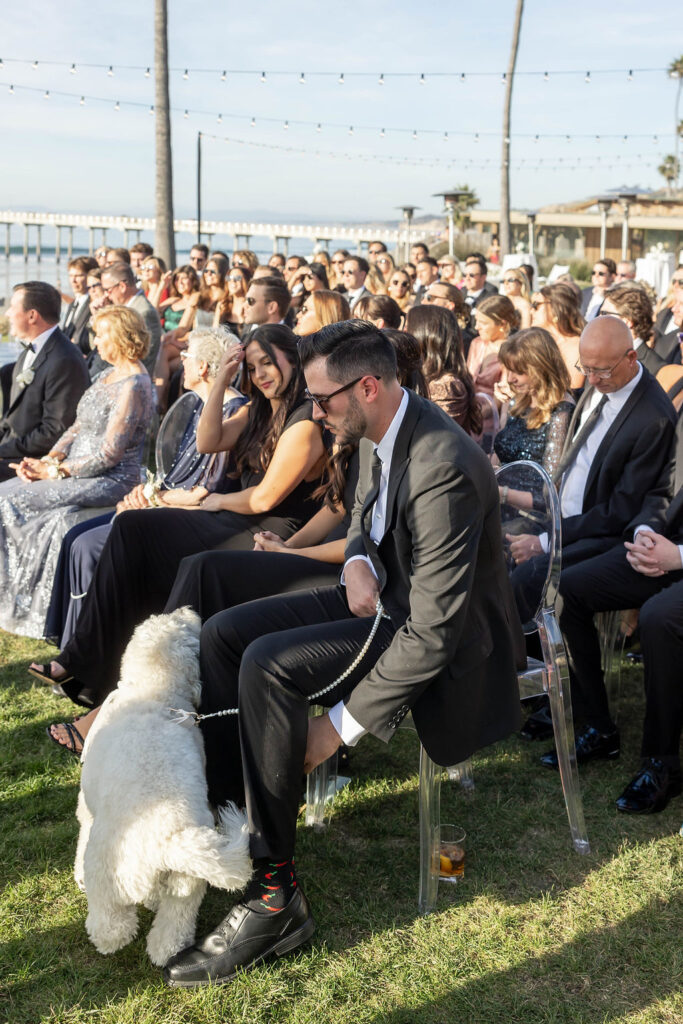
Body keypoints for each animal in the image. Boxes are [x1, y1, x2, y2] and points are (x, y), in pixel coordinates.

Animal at [75, 606, 250, 966]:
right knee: (172, 924)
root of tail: (168, 841)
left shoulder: (86, 806)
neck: (154, 692)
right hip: (186, 884)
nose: (188, 608)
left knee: (113, 924)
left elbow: (81, 826)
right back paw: (167, 951)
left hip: (107, 874)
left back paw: (108, 939)